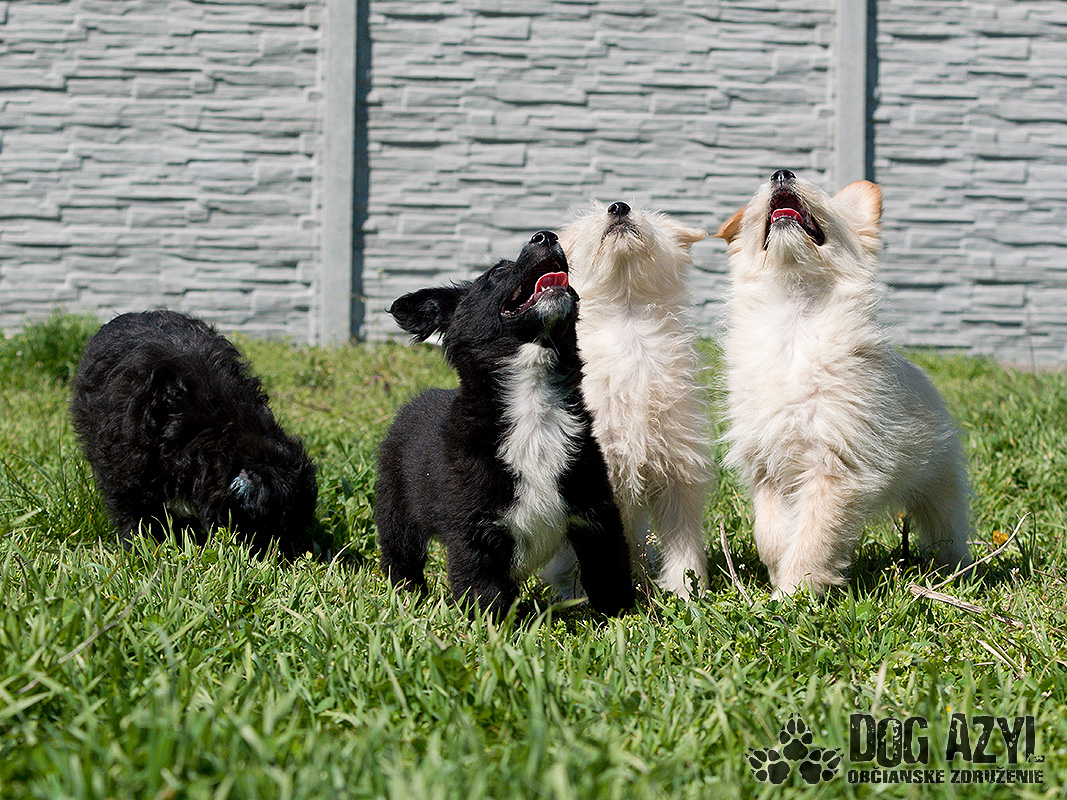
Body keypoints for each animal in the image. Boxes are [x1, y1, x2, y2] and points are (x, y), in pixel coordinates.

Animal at [376, 230, 635, 618]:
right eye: (497, 273)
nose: (546, 235)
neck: (533, 404)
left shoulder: (597, 514)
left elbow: (610, 575)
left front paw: (622, 620)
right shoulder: (472, 533)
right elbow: (484, 593)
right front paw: (495, 629)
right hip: (395, 508)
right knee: (401, 557)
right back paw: (407, 596)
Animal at [540, 201, 712, 600]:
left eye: (645, 214)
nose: (618, 206)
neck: (628, 320)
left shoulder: (677, 471)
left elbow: (683, 538)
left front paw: (687, 591)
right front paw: (586, 596)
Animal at [717, 169, 972, 597]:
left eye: (820, 196)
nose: (781, 172)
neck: (795, 323)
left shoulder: (835, 467)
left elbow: (812, 537)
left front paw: (790, 596)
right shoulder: (765, 467)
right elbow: (771, 534)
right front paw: (776, 575)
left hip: (941, 483)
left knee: (948, 530)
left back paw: (958, 574)